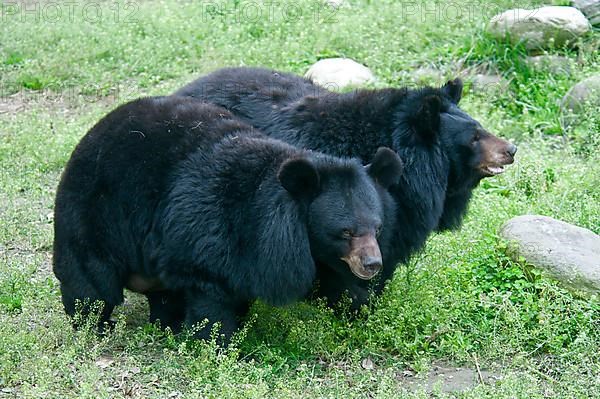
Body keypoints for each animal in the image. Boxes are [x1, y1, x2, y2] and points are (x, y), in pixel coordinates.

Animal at [52, 95, 404, 340]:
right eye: (345, 232)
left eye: (377, 228)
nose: (372, 265)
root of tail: (92, 133)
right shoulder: (213, 237)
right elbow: (211, 295)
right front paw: (217, 344)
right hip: (94, 215)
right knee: (89, 282)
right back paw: (95, 325)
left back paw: (166, 324)